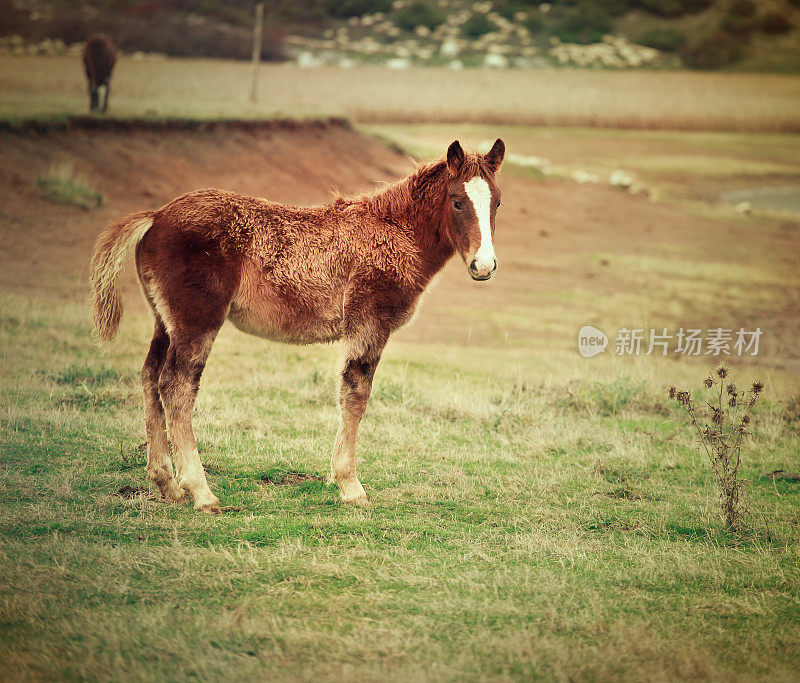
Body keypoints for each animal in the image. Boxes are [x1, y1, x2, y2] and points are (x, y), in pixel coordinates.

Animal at [90, 139, 504, 512]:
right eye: (457, 200)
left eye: (496, 202)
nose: (483, 266)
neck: (393, 231)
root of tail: (156, 216)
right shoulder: (370, 323)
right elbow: (355, 395)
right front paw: (350, 486)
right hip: (197, 321)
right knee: (176, 385)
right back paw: (201, 492)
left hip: (165, 321)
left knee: (150, 377)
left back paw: (166, 484)